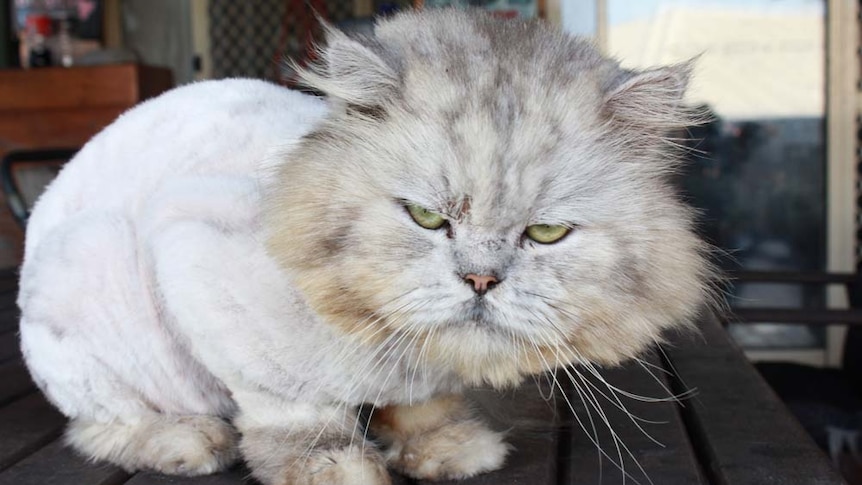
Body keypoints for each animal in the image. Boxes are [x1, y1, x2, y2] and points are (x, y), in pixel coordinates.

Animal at [16, 7, 716, 484]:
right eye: (427, 218)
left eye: (544, 233)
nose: (482, 281)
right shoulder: (196, 260)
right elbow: (292, 418)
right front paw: (335, 468)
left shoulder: (423, 385)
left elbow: (425, 411)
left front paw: (449, 449)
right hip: (93, 280)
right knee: (101, 426)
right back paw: (188, 442)